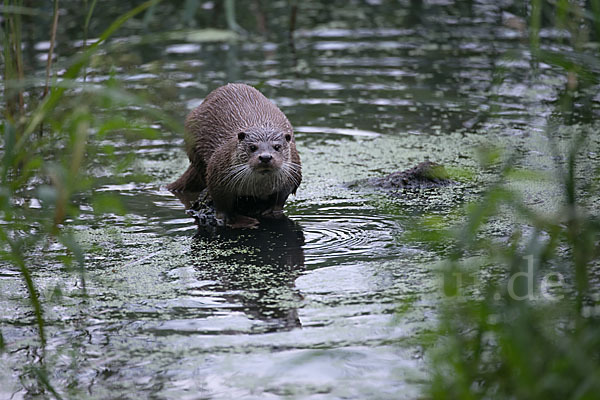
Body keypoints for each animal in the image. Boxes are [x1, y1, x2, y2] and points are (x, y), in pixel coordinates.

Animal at [168, 83, 300, 228]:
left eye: (277, 147)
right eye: (252, 147)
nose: (265, 157)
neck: (259, 189)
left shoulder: (292, 174)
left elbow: (281, 198)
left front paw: (272, 211)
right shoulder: (217, 173)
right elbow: (221, 204)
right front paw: (235, 220)